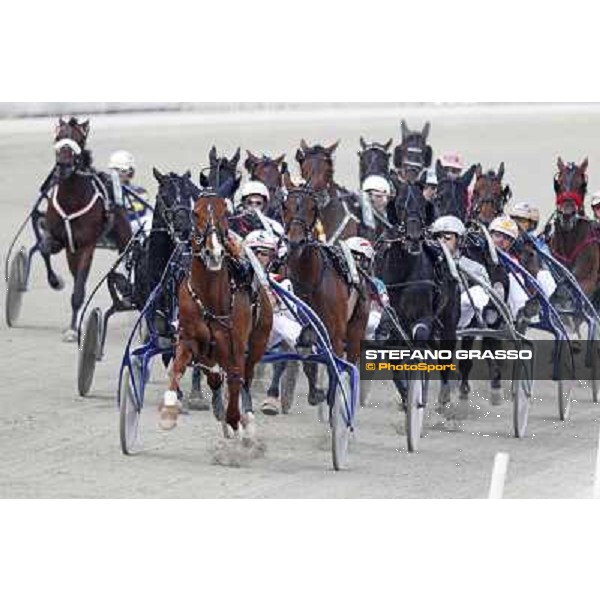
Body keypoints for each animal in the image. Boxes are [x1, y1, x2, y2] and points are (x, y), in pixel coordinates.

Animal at [42, 118, 131, 342]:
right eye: (58, 137)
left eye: (79, 140)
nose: (64, 165)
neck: (71, 200)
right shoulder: (59, 239)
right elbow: (45, 248)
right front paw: (55, 281)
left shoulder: (87, 246)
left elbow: (79, 290)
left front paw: (73, 330)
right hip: (70, 251)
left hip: (123, 236)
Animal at [159, 192, 272, 436]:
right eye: (195, 213)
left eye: (225, 213)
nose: (214, 253)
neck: (210, 298)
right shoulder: (189, 338)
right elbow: (178, 367)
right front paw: (169, 412)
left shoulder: (235, 345)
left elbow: (236, 378)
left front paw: (235, 421)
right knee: (214, 373)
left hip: (258, 341)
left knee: (245, 376)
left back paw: (245, 416)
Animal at [282, 173, 370, 406]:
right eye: (286, 206)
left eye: (312, 207)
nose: (295, 241)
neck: (311, 278)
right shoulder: (306, 328)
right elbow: (308, 359)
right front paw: (316, 393)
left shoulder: (336, 335)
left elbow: (335, 368)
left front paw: (334, 398)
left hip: (357, 326)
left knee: (352, 358)